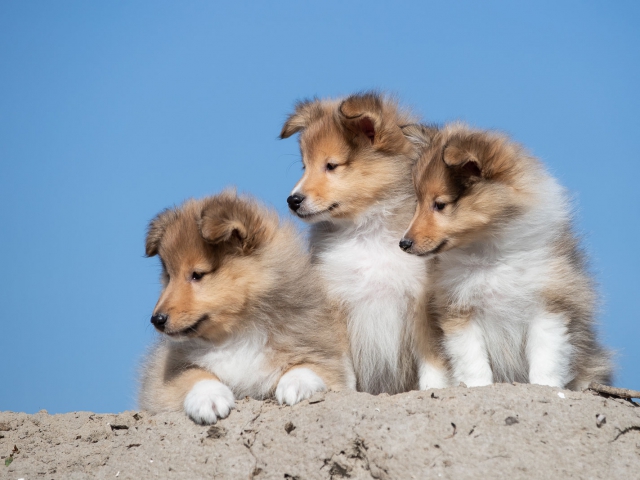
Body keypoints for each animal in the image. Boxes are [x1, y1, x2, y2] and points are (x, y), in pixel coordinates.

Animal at [138, 191, 356, 424]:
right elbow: (193, 375)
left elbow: (308, 366)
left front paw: (296, 385)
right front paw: (209, 399)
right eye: (169, 276)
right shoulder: (161, 377)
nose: (157, 320)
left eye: (197, 275)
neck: (238, 333)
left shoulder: (327, 356)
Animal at [280, 92, 450, 396]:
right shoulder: (335, 303)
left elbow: (431, 361)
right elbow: (342, 363)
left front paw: (434, 389)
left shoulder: (420, 303)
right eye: (304, 166)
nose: (292, 200)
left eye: (331, 165)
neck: (367, 233)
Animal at [400, 124, 616, 390]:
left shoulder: (549, 304)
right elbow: (473, 360)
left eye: (439, 204)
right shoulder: (459, 311)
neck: (491, 255)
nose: (403, 243)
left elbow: (546, 356)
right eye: (417, 202)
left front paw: (545, 388)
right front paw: (478, 387)